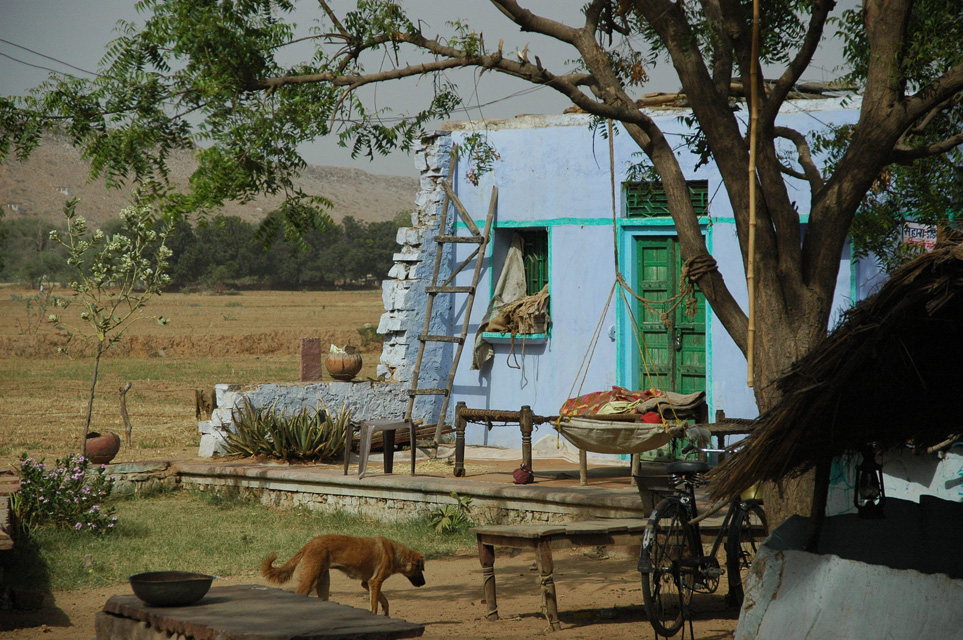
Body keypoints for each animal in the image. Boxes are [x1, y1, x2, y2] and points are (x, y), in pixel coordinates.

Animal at [264, 528, 430, 616]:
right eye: (420, 570)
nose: (424, 583)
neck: (396, 554)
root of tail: (309, 544)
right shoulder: (375, 582)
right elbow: (374, 605)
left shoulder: (367, 583)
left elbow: (384, 600)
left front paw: (386, 612)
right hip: (310, 580)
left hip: (323, 582)